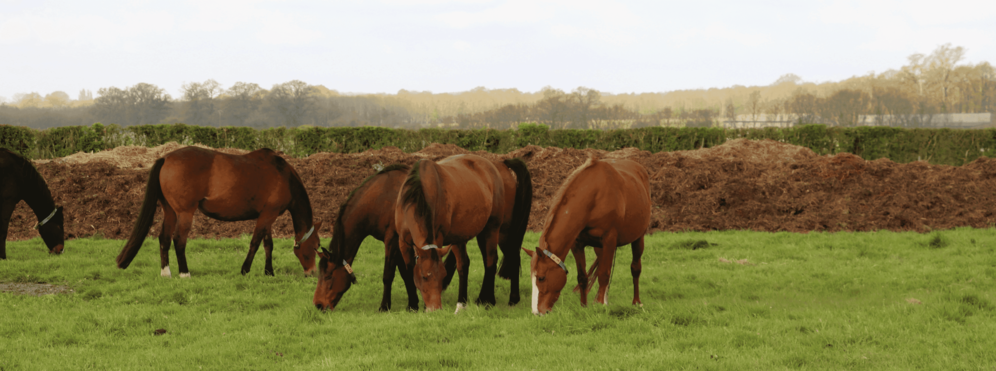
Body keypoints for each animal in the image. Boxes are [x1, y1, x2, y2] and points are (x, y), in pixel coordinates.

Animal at [115, 147, 322, 278]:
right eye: (315, 246)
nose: (312, 272)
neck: (283, 175)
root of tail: (166, 158)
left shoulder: (267, 216)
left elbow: (268, 245)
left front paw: (269, 272)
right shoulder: (268, 215)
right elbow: (255, 243)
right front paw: (245, 270)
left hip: (170, 211)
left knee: (164, 238)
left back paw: (166, 273)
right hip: (185, 213)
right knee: (178, 240)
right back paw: (184, 273)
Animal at [312, 164, 460, 312]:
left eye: (328, 276)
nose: (318, 304)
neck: (380, 198)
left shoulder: (392, 241)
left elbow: (388, 275)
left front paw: (385, 306)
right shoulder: (401, 245)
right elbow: (406, 273)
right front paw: (413, 304)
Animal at [396, 155, 536, 312]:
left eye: (442, 276)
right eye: (424, 277)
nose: (435, 308)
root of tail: (498, 165)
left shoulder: (441, 238)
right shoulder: (403, 242)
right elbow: (408, 270)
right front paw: (412, 305)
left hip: (496, 230)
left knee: (496, 259)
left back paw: (493, 299)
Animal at [520, 155, 652, 316]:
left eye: (541, 278)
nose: (536, 312)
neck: (594, 197)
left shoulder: (609, 239)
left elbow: (604, 274)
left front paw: (601, 305)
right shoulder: (578, 244)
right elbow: (583, 277)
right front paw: (584, 305)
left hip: (638, 238)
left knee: (635, 268)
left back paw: (636, 302)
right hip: (599, 248)